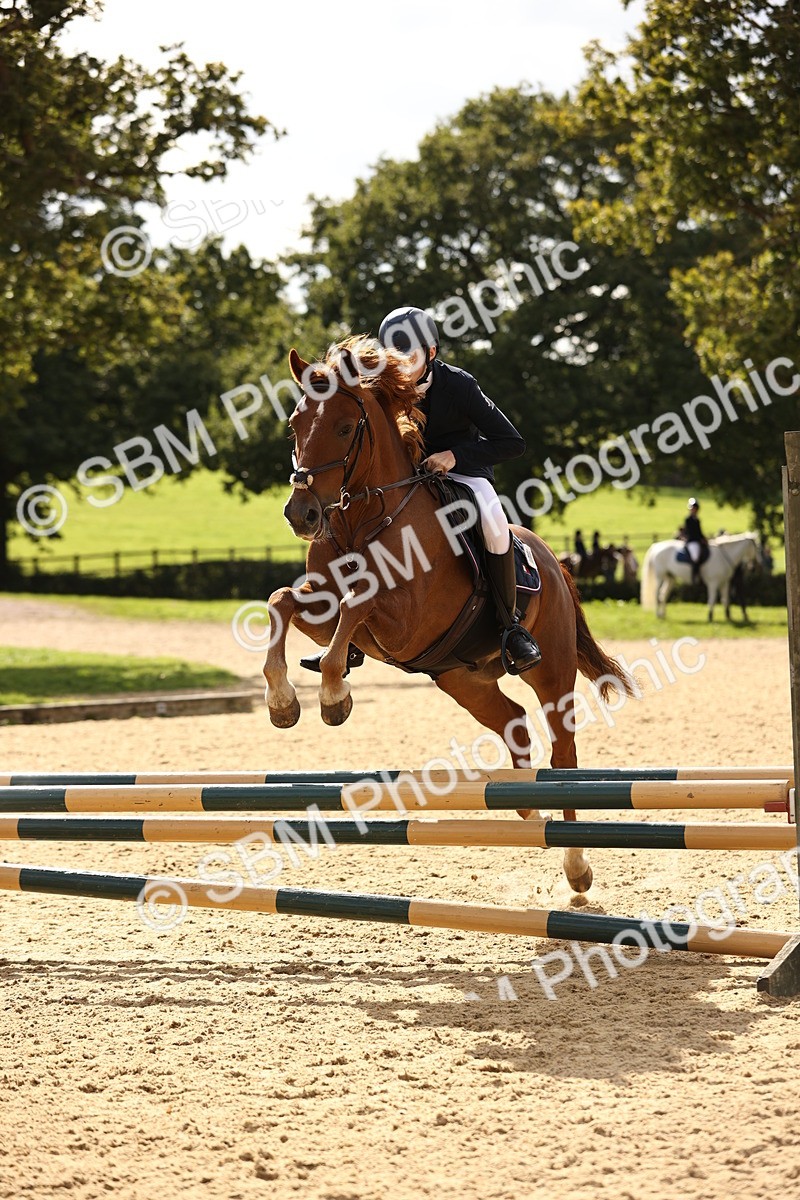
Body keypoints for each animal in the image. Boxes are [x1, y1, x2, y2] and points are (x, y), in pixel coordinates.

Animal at [263, 336, 635, 893]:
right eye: (294, 424)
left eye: (346, 428)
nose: (301, 514)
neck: (364, 520)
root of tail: (551, 557)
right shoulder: (328, 610)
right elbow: (282, 600)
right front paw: (284, 703)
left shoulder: (404, 625)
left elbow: (358, 602)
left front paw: (332, 698)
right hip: (462, 679)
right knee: (514, 723)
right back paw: (529, 810)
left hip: (551, 671)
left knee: (563, 751)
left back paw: (576, 866)